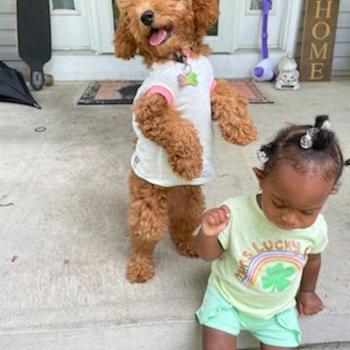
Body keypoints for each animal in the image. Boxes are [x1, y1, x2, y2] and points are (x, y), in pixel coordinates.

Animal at [115, 0, 258, 282]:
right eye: (131, 7)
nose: (145, 16)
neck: (178, 59)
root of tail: (170, 193)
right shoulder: (150, 110)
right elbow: (180, 130)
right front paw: (190, 163)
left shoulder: (211, 89)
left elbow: (230, 97)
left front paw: (243, 130)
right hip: (148, 201)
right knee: (144, 234)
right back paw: (140, 266)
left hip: (190, 202)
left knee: (181, 226)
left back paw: (189, 246)